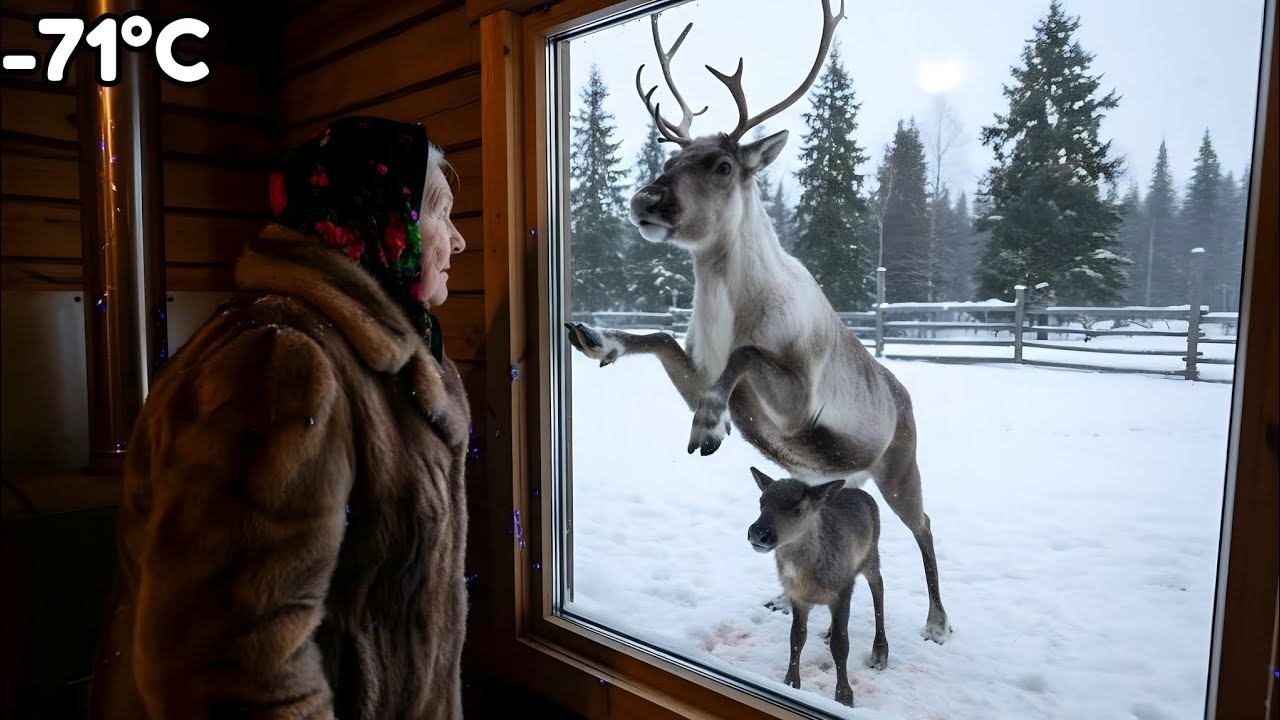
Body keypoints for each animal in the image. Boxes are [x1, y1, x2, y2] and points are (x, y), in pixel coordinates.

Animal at [564, 0, 952, 644]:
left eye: (722, 165)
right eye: (669, 158)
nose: (645, 201)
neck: (729, 313)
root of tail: (906, 398)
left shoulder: (796, 399)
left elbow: (746, 357)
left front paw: (708, 427)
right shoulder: (703, 368)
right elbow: (664, 337)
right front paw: (598, 339)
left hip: (900, 463)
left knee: (923, 520)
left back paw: (938, 621)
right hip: (849, 474)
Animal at [747, 466, 888, 707]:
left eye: (798, 509)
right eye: (761, 502)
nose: (758, 532)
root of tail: (864, 494)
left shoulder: (842, 590)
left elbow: (841, 646)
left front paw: (844, 696)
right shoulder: (797, 597)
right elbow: (797, 637)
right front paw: (791, 682)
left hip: (871, 553)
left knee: (878, 586)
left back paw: (880, 650)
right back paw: (831, 631)